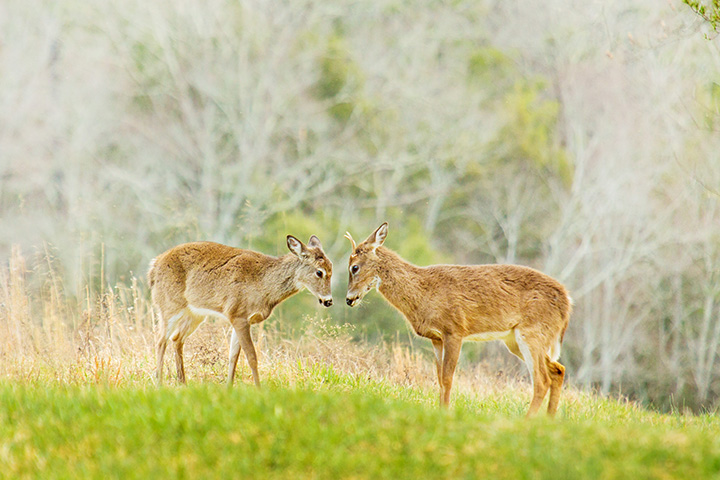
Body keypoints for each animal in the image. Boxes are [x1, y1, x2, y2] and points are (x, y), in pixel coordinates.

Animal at [150, 235, 334, 386]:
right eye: (319, 272)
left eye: (331, 268)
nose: (328, 301)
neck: (264, 285)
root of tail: (154, 265)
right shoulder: (238, 314)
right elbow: (251, 356)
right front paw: (259, 389)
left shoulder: (242, 319)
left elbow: (233, 356)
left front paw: (229, 388)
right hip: (168, 305)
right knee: (160, 340)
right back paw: (159, 384)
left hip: (195, 314)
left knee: (176, 339)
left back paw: (183, 383)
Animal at [346, 223, 572, 414]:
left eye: (354, 267)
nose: (349, 299)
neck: (423, 292)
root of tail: (567, 303)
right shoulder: (436, 338)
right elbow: (439, 378)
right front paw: (439, 410)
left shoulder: (454, 329)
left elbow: (447, 378)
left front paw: (445, 413)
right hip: (516, 339)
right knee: (557, 370)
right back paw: (549, 419)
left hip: (532, 333)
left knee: (541, 380)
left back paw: (528, 420)